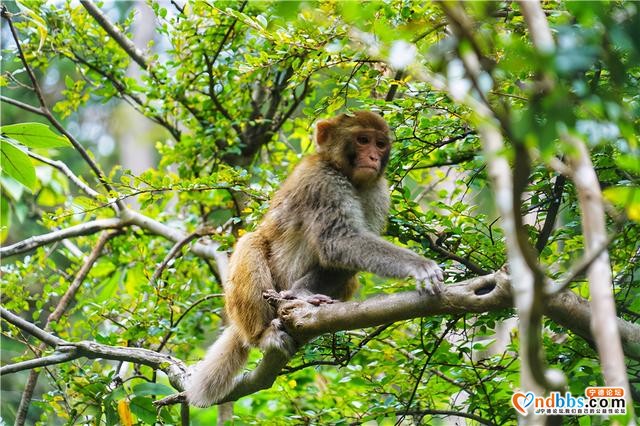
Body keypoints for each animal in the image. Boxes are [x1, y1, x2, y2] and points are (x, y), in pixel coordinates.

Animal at [188, 110, 442, 406]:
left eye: (380, 144)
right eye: (363, 140)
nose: (373, 157)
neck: (346, 175)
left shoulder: (378, 193)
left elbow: (341, 258)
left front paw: (302, 294)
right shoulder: (323, 182)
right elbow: (337, 241)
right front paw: (418, 265)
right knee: (250, 242)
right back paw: (263, 335)